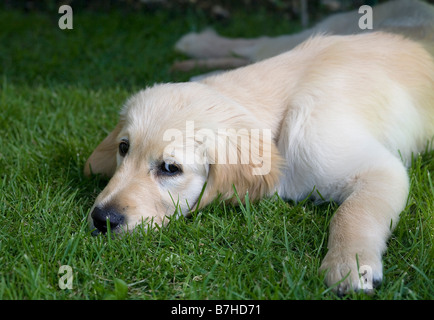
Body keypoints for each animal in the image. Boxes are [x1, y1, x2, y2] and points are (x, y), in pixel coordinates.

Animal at [85, 32, 434, 296]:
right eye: (124, 148)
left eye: (170, 169)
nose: (102, 219)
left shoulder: (379, 168)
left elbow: (352, 213)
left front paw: (349, 264)